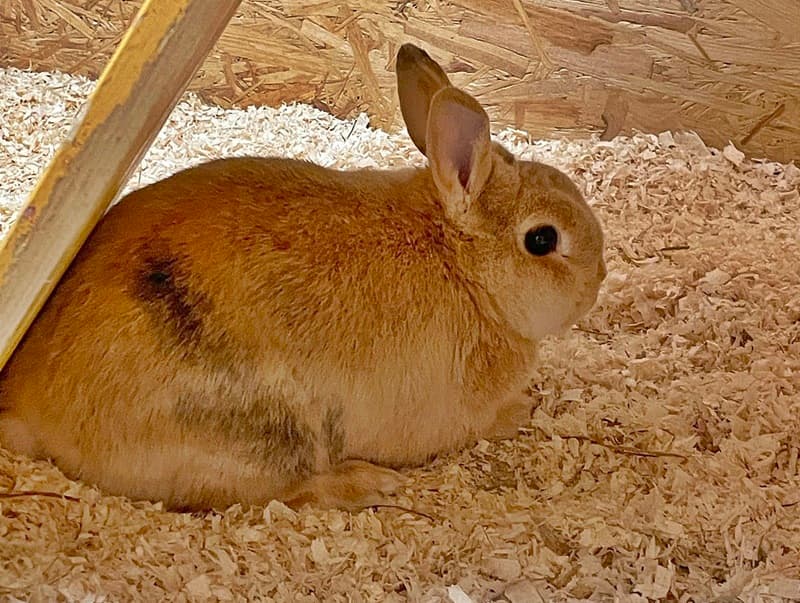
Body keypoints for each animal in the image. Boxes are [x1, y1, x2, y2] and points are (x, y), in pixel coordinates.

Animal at [0, 44, 606, 511]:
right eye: (542, 240)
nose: (599, 277)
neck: (463, 267)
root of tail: (29, 405)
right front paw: (521, 409)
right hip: (264, 434)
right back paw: (364, 484)